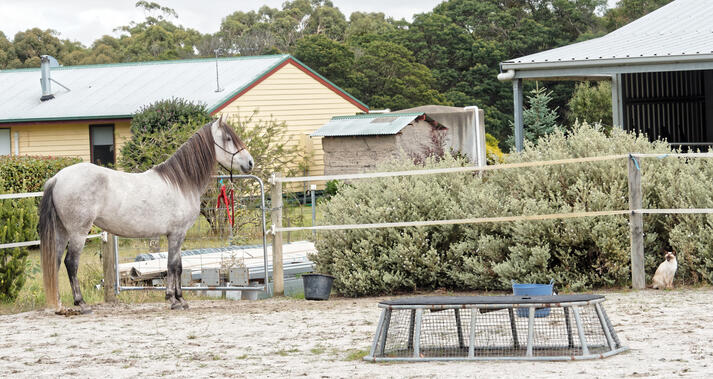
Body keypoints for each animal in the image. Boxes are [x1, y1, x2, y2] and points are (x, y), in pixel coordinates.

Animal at [40, 117, 253, 314]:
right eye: (228, 138)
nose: (250, 162)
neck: (181, 183)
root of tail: (57, 178)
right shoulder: (176, 234)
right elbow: (172, 266)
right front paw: (174, 300)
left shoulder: (177, 235)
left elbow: (178, 266)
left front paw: (180, 299)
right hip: (78, 232)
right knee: (70, 263)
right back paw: (82, 304)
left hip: (62, 232)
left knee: (55, 262)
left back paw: (59, 306)